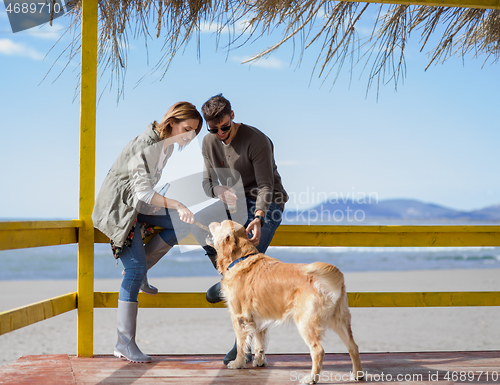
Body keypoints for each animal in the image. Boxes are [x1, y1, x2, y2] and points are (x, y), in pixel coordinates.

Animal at [207, 219, 364, 380]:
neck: (241, 258)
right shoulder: (258, 318)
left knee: (318, 350)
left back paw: (311, 379)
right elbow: (259, 341)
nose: (211, 221)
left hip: (306, 322)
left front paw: (237, 363)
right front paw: (260, 361)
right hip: (339, 320)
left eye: (221, 224)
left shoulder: (239, 317)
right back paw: (357, 374)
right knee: (353, 346)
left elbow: (241, 344)